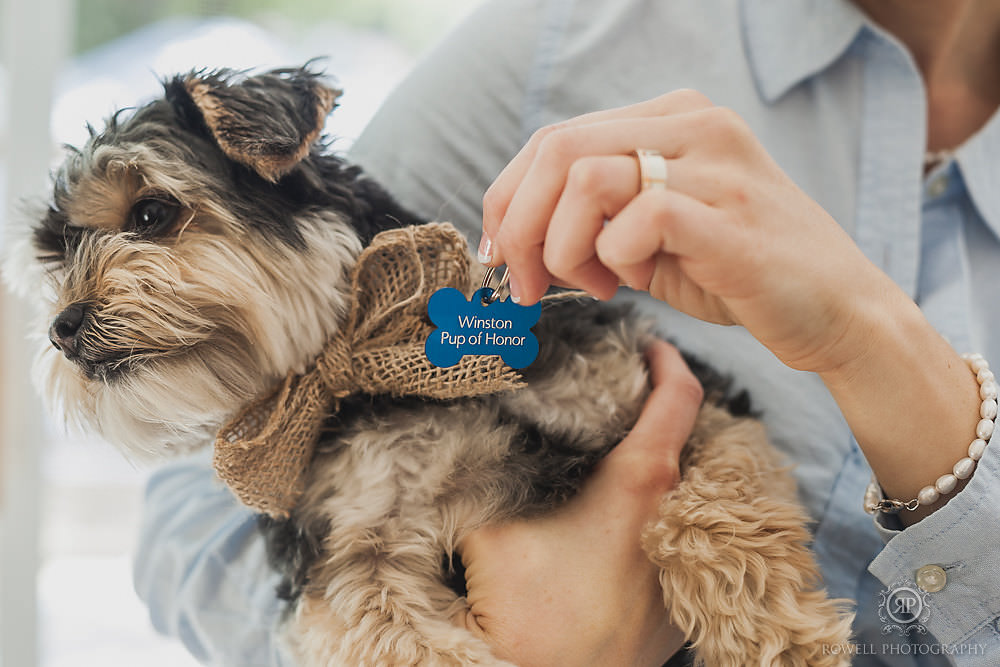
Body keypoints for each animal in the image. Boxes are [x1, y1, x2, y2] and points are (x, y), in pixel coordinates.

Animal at [7, 66, 852, 664]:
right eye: (52, 261)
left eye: (151, 213)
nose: (62, 329)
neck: (373, 371)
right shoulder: (352, 557)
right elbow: (394, 630)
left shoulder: (677, 393)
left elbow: (713, 510)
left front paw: (781, 640)